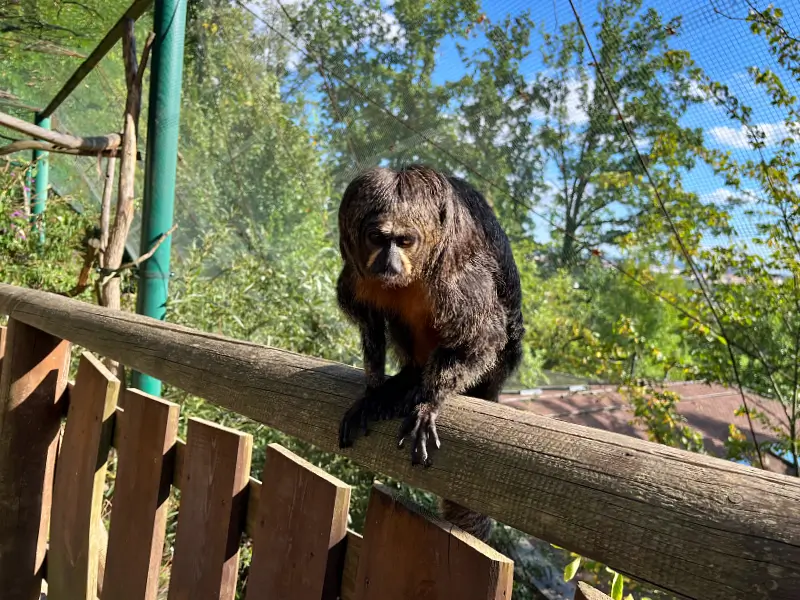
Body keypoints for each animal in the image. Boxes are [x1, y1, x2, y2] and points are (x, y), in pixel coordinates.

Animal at [335, 164, 525, 541]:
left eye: (404, 241)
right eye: (377, 239)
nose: (390, 261)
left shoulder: (458, 276)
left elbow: (483, 336)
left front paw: (430, 401)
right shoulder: (357, 272)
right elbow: (370, 322)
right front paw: (374, 391)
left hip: (497, 369)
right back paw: (406, 378)